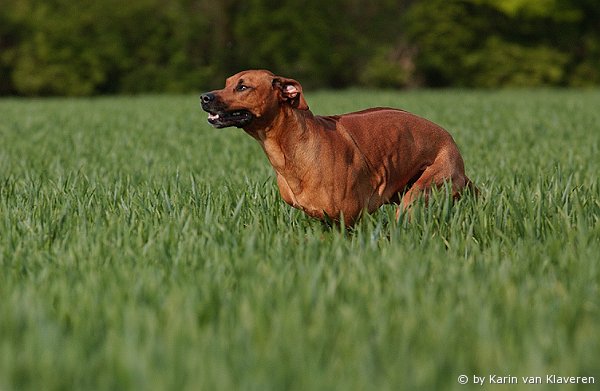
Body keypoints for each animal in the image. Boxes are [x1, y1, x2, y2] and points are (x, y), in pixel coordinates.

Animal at [202, 69, 474, 225]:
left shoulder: (350, 220)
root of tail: (449, 139)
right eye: (226, 83)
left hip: (423, 191)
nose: (204, 97)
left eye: (243, 86)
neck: (292, 147)